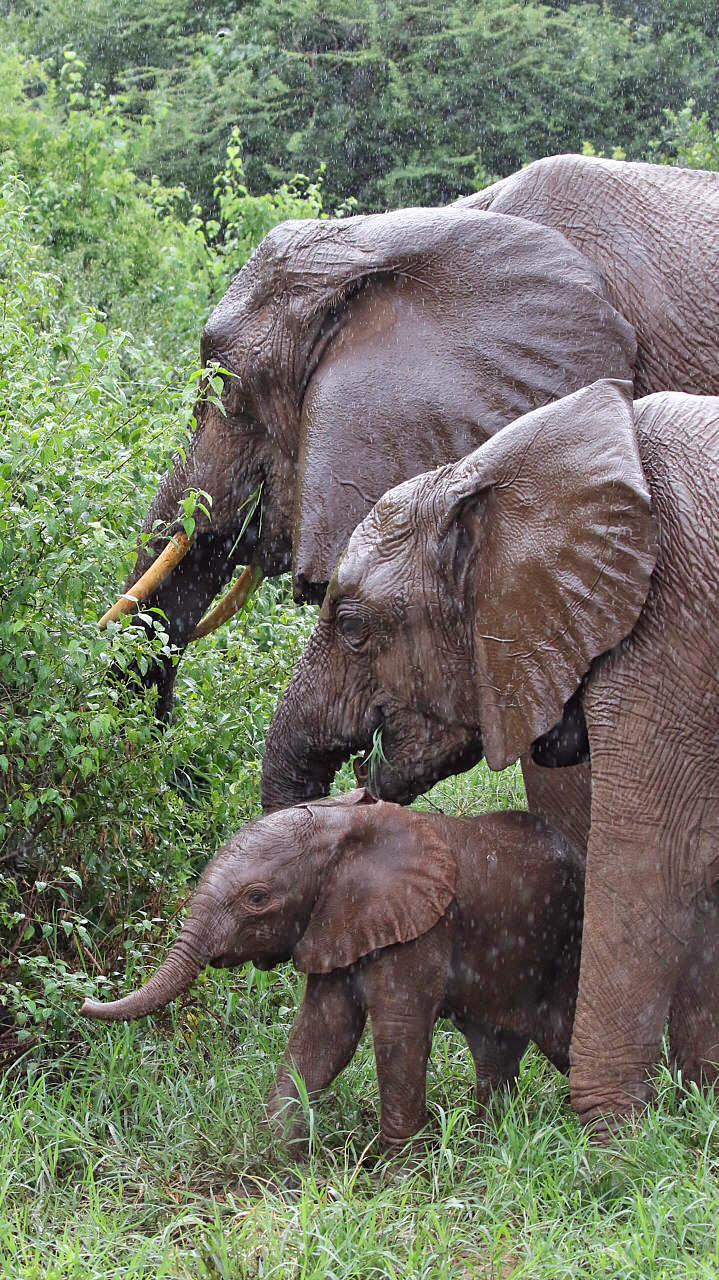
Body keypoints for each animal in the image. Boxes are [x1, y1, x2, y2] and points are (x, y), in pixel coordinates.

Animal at [79, 788, 583, 1152]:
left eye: (257, 898)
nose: (84, 1001)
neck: (345, 823)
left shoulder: (424, 928)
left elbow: (398, 1034)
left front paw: (399, 1177)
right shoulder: (338, 923)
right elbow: (323, 1035)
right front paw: (275, 1156)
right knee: (496, 1053)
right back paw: (490, 1141)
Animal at [259, 376, 716, 1131]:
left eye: (352, 627)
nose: (359, 785)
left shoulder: (669, 632)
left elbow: (653, 855)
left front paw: (611, 1134)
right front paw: (697, 1104)